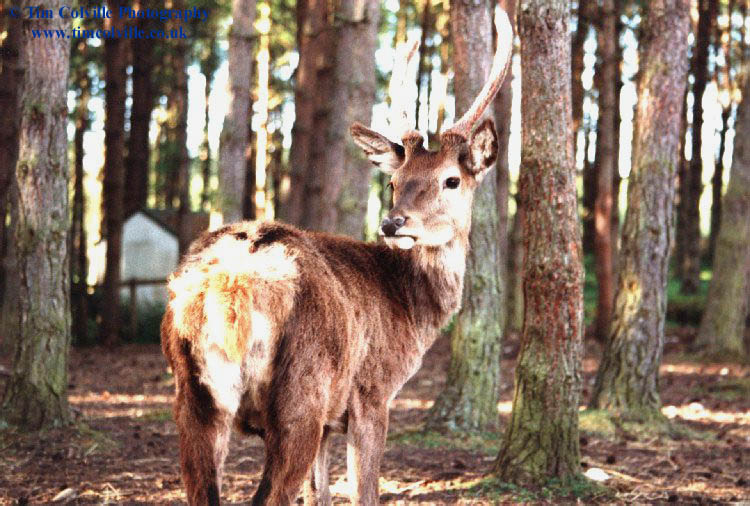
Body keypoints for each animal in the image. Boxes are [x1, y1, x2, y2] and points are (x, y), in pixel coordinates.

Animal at [161, 7, 513, 505]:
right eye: (394, 181)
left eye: (451, 180)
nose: (392, 224)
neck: (411, 314)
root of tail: (228, 287)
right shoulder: (370, 394)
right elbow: (364, 493)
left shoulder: (331, 423)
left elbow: (320, 495)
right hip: (301, 394)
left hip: (192, 394)